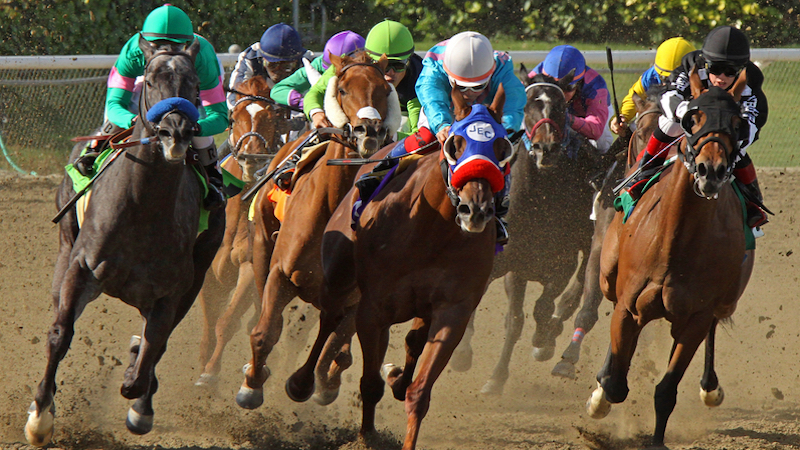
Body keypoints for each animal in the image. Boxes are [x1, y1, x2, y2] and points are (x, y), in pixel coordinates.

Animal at [25, 35, 225, 446]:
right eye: (151, 80)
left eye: (195, 85)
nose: (175, 132)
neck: (143, 206)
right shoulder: (81, 268)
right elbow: (59, 334)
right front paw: (40, 417)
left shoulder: (170, 291)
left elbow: (150, 353)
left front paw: (138, 394)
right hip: (65, 246)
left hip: (197, 274)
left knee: (157, 341)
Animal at [195, 74, 292, 386]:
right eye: (234, 117)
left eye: (271, 118)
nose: (252, 159)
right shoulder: (208, 270)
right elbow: (210, 319)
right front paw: (203, 359)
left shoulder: (249, 268)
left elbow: (226, 322)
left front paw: (210, 373)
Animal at [236, 51, 404, 410]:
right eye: (342, 89)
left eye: (385, 90)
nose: (369, 131)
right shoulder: (281, 273)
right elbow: (265, 332)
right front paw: (251, 385)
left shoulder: (357, 296)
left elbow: (336, 342)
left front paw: (316, 382)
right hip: (261, 249)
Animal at [288, 83, 512, 450]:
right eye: (454, 145)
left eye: (502, 147)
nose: (476, 210)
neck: (432, 228)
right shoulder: (373, 309)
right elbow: (368, 382)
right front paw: (366, 437)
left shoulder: (454, 310)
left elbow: (419, 391)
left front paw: (401, 394)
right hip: (338, 276)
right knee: (330, 317)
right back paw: (302, 382)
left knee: (413, 340)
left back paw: (396, 377)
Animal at [584, 67, 752, 446]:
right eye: (693, 118)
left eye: (738, 124)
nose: (710, 170)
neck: (672, 243)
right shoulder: (628, 306)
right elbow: (616, 383)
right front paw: (600, 396)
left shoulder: (695, 318)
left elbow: (666, 391)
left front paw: (657, 440)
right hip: (608, 278)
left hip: (727, 299)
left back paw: (710, 388)